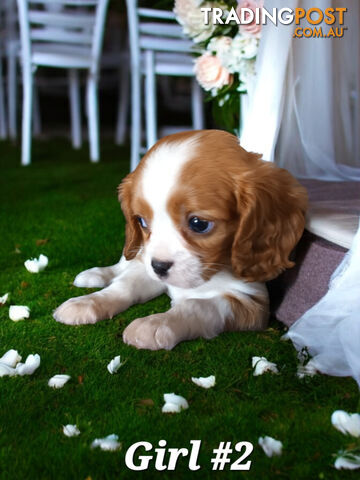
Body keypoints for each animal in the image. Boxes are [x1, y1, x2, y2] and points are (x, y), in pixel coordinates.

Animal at [53, 129, 306, 350]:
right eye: (142, 221)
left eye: (198, 223)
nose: (159, 266)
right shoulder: (147, 267)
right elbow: (124, 285)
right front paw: (87, 302)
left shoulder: (252, 301)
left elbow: (198, 305)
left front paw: (154, 324)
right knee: (126, 262)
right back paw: (97, 275)